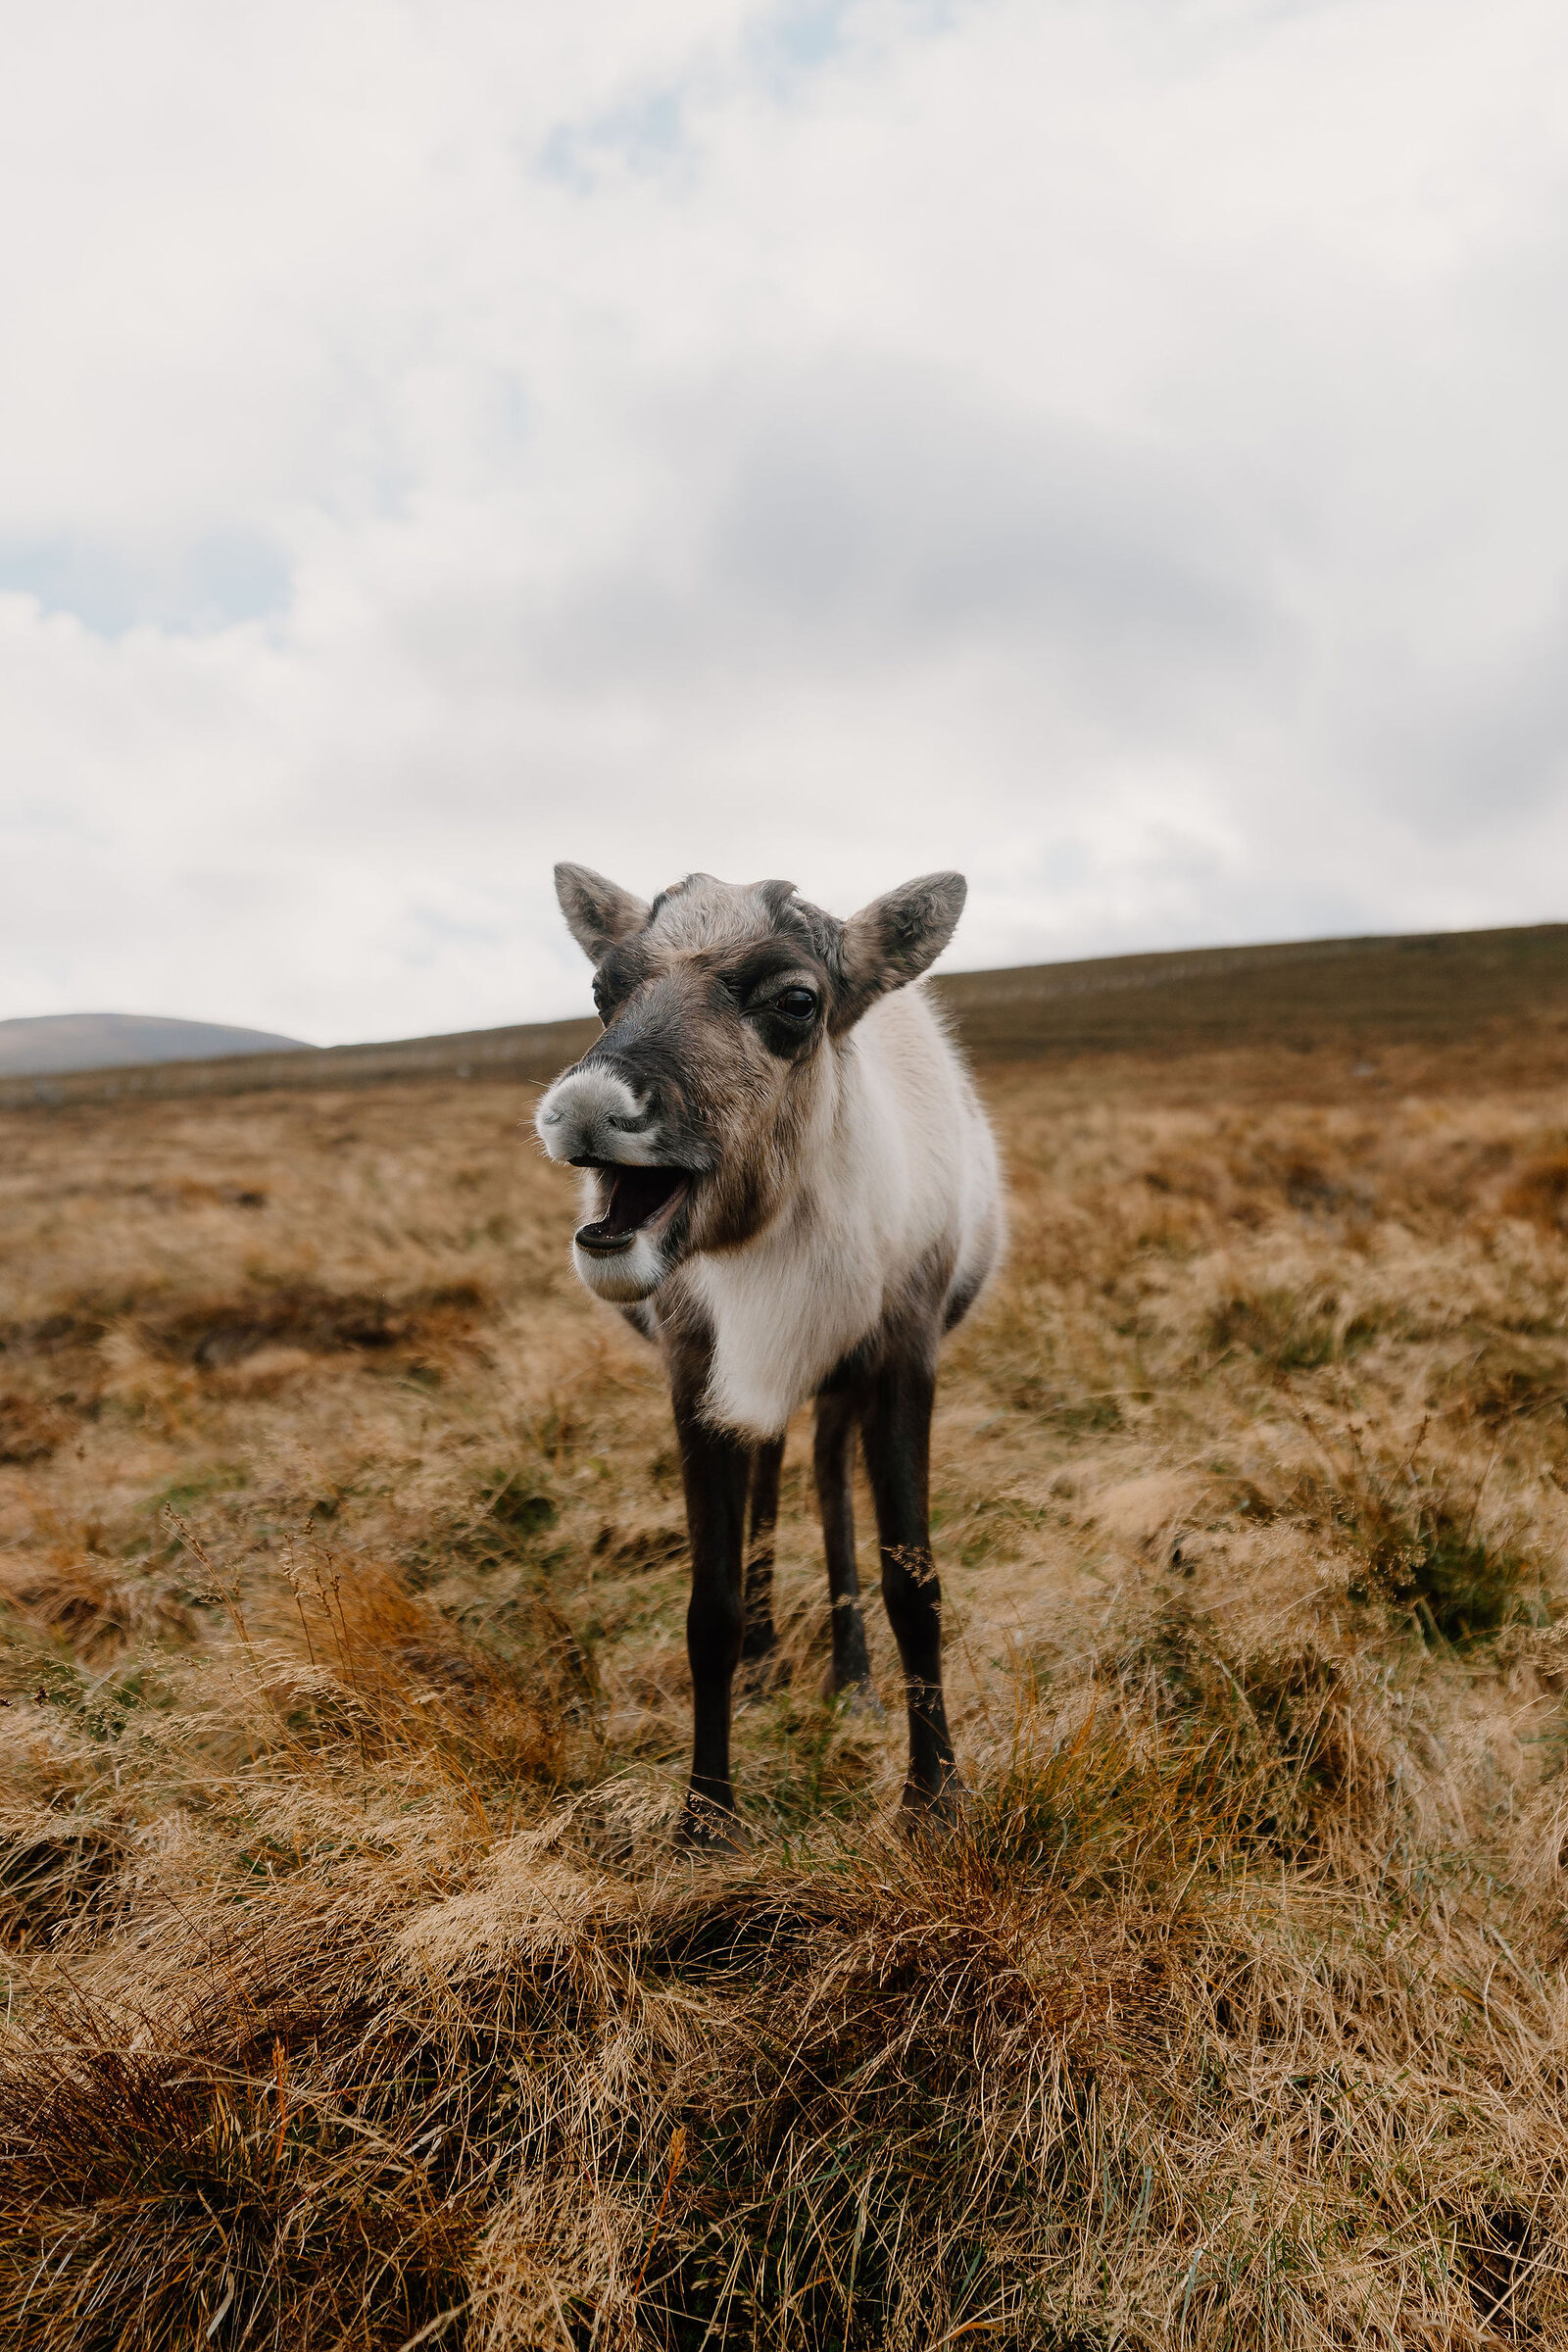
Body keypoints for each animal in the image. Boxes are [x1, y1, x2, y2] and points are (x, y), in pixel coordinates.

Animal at [535, 865, 1003, 1844]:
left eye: (796, 1000)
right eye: (602, 988)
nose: (586, 1109)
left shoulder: (902, 1353)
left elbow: (915, 1584)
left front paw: (934, 1797)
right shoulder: (696, 1367)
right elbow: (707, 1604)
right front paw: (705, 1816)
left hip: (839, 1387)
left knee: (825, 1485)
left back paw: (850, 1676)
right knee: (771, 1475)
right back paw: (763, 1658)